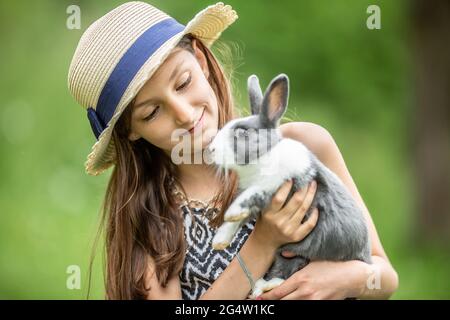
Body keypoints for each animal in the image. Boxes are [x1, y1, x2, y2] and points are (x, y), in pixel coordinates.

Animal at [206, 74, 370, 298]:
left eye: (243, 131)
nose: (210, 150)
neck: (261, 159)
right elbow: (237, 221)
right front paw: (220, 240)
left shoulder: (281, 182)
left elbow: (252, 194)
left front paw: (231, 213)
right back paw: (258, 288)